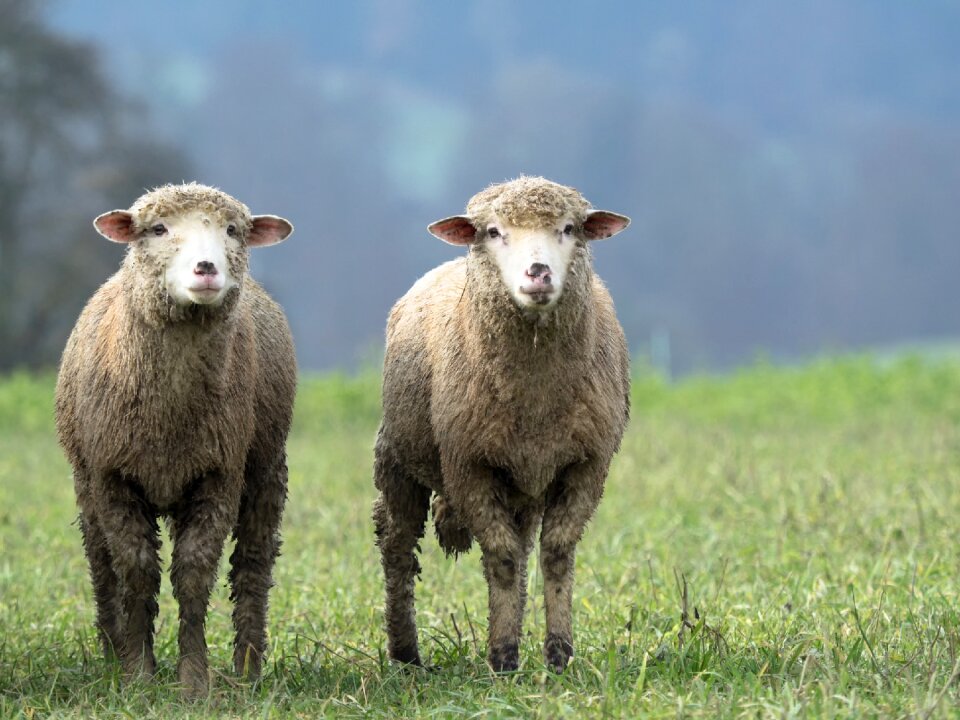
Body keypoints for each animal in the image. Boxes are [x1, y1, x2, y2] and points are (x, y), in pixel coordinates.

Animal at [55, 183, 296, 696]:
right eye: (158, 229)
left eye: (232, 230)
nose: (207, 268)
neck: (169, 420)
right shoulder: (112, 477)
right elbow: (136, 571)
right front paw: (138, 675)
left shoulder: (218, 474)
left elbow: (193, 573)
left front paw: (193, 680)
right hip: (85, 481)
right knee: (101, 564)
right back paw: (112, 654)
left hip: (266, 467)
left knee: (253, 563)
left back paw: (248, 667)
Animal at [374, 177, 632, 672]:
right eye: (493, 232)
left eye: (569, 228)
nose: (538, 273)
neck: (535, 397)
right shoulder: (468, 466)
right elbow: (503, 558)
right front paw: (503, 656)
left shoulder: (587, 464)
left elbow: (555, 554)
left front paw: (557, 654)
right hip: (397, 457)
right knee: (397, 547)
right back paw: (406, 653)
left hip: (523, 483)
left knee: (527, 541)